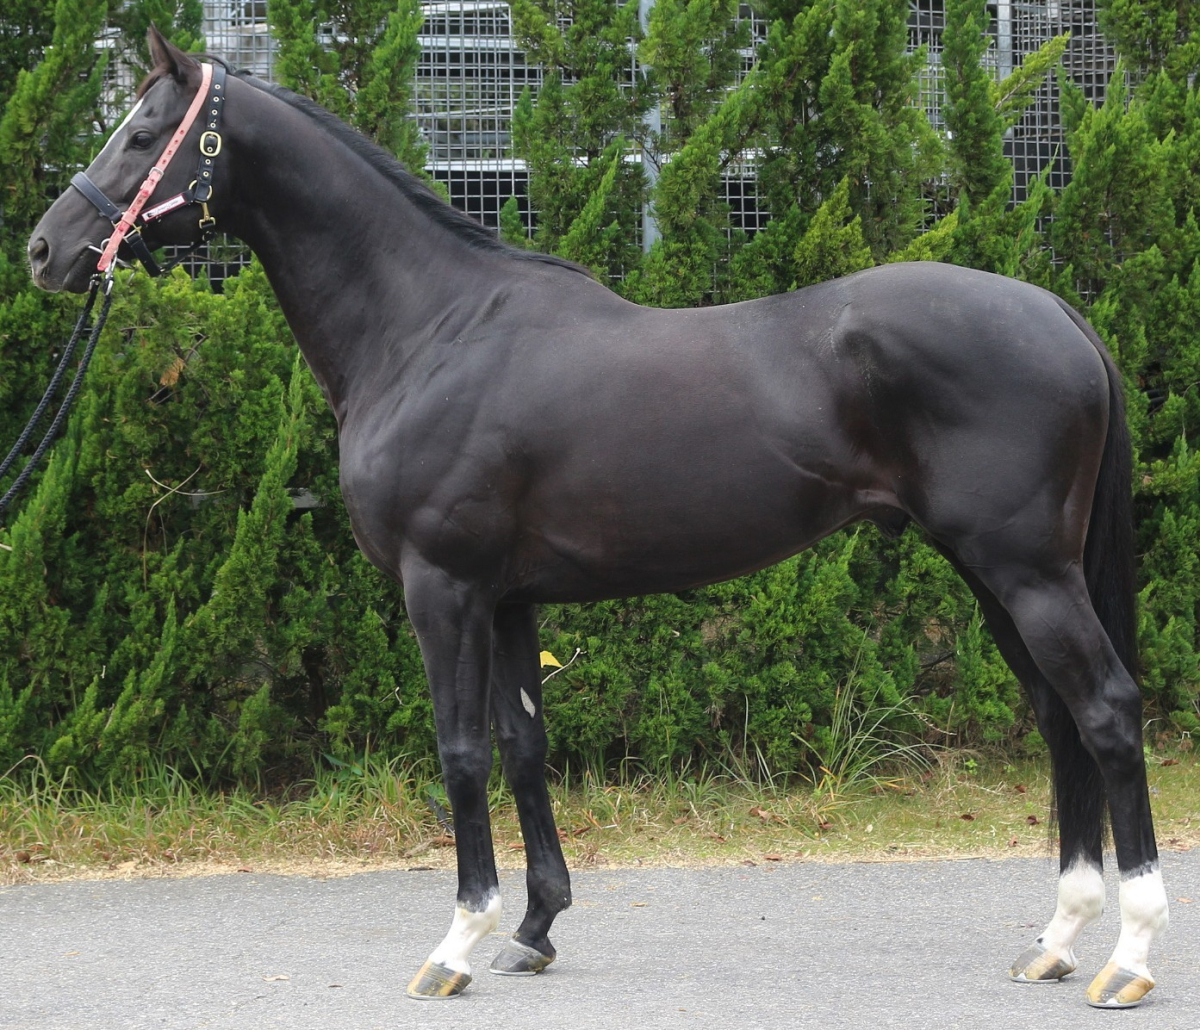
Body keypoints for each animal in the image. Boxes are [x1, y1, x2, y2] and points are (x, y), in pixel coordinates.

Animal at [28, 28, 1167, 1007]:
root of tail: (1056, 311)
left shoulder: (443, 588)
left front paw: (457, 944)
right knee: (1060, 718)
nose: (46, 249)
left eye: (142, 134)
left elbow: (461, 752)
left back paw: (1131, 956)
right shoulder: (510, 599)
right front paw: (535, 929)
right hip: (994, 575)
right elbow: (525, 747)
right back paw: (1058, 940)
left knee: (1107, 711)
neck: (431, 328)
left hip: (1026, 571)